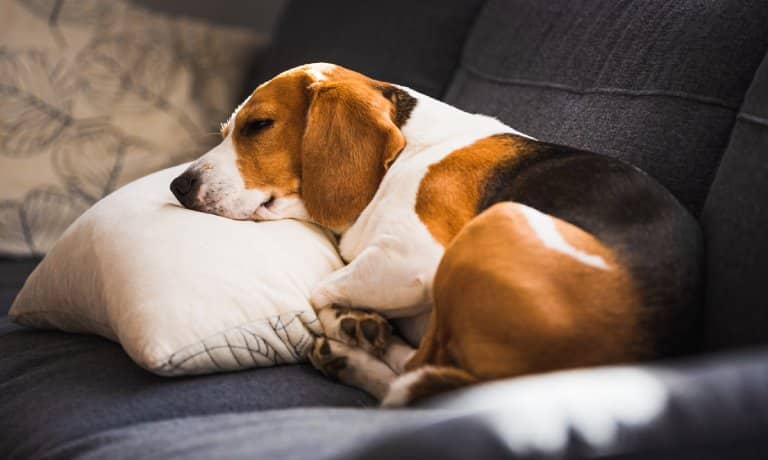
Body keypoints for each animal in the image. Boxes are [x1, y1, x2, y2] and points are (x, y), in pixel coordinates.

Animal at [171, 63, 700, 404]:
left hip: (494, 225)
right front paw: (353, 324)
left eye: (259, 125)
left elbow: (319, 289)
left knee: (412, 373)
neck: (406, 148)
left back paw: (351, 353)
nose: (179, 186)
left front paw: (346, 321)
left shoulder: (416, 259)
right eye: (226, 130)